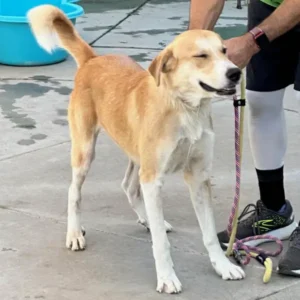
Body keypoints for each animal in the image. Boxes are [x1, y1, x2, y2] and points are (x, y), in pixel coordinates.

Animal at [27, 5, 244, 292]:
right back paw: (74, 233)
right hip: (86, 151)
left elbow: (208, 233)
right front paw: (166, 277)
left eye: (224, 51)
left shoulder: (198, 176)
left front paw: (223, 266)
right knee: (74, 190)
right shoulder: (153, 178)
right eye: (201, 56)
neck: (184, 109)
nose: (235, 72)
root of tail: (92, 60)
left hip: (137, 155)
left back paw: (149, 220)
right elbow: (161, 243)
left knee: (129, 186)